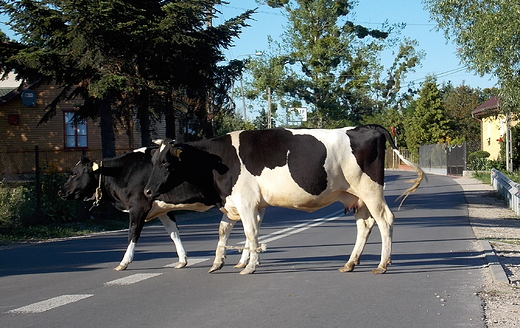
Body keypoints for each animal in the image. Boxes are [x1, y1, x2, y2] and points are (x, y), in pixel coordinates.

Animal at [59, 149, 228, 272]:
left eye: (74, 173)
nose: (60, 192)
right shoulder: (164, 209)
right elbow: (173, 232)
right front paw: (182, 260)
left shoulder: (138, 207)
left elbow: (132, 233)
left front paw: (124, 262)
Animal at [144, 125, 424, 274]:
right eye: (153, 162)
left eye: (166, 163)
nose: (146, 192)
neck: (220, 161)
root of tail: (364, 127)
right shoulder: (238, 203)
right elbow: (225, 231)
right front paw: (218, 263)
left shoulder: (246, 202)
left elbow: (251, 234)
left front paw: (249, 266)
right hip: (356, 196)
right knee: (365, 225)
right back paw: (350, 263)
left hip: (370, 189)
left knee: (385, 220)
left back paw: (383, 264)